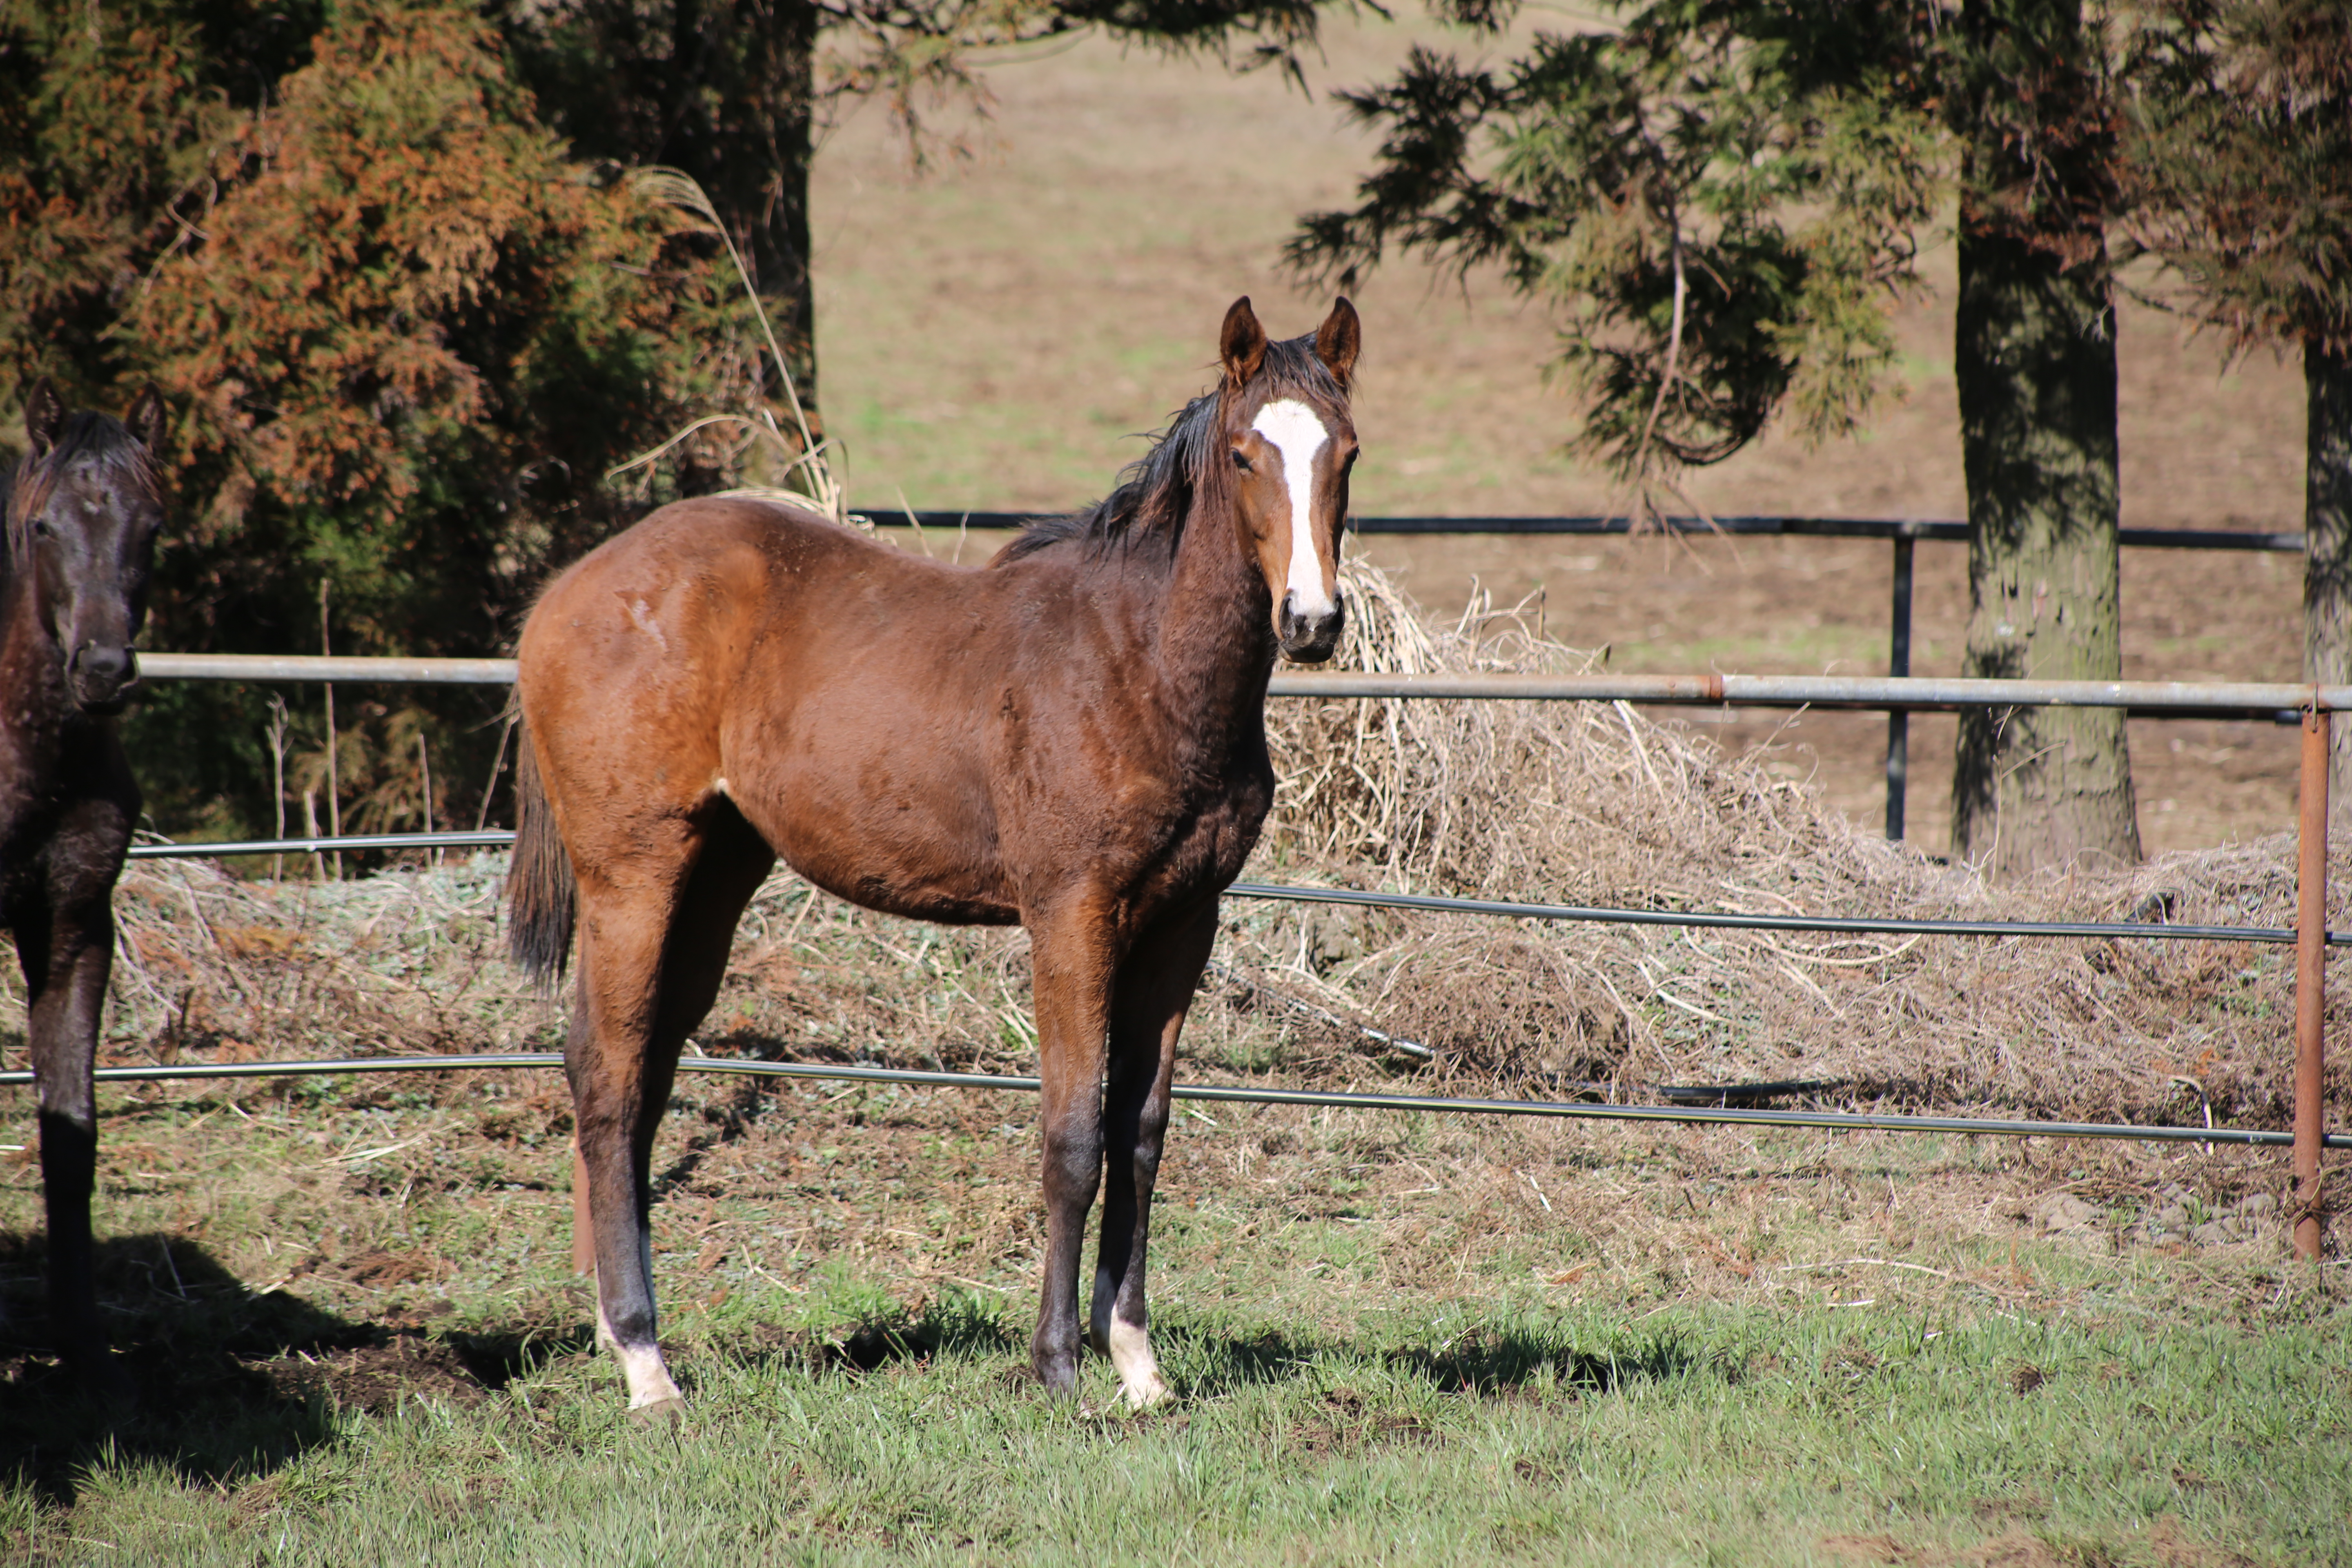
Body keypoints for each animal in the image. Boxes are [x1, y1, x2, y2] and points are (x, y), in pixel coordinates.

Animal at [515, 301, 1364, 1420]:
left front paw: (1137, 1363)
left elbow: (1140, 1134)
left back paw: (630, 1336)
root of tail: (563, 594)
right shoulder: (1070, 914)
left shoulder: (1184, 923)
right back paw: (645, 1366)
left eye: (1346, 454)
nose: (1311, 622)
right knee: (608, 1077)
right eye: (1241, 454)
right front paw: (1056, 1365)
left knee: (642, 1071)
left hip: (716, 872)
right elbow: (1072, 1138)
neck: (1139, 662)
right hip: (633, 872)